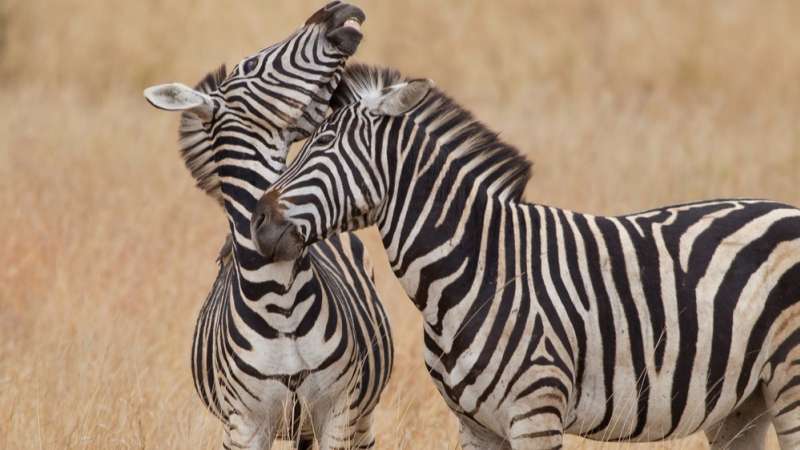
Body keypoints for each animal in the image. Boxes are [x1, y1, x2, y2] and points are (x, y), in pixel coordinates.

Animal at [142, 7, 393, 450]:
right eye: (251, 65)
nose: (340, 10)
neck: (281, 301)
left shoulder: (339, 413)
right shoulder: (244, 425)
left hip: (358, 417)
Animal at [249, 64, 800, 450]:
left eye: (322, 141)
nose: (257, 221)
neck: (477, 271)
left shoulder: (536, 414)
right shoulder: (475, 425)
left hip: (790, 385)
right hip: (743, 403)